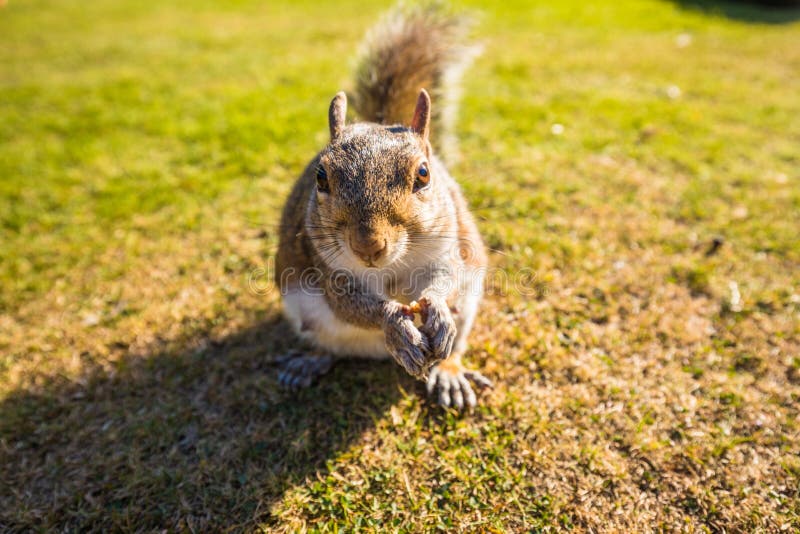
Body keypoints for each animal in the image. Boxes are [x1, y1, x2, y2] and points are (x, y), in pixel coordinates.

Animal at [275, 2, 491, 409]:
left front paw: (437, 307)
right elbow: (352, 303)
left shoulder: (446, 246)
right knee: (328, 346)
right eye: (320, 177)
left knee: (456, 343)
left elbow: (445, 277)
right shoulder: (330, 270)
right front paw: (396, 325)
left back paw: (449, 372)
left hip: (469, 306)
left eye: (423, 174)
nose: (368, 246)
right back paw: (309, 362)